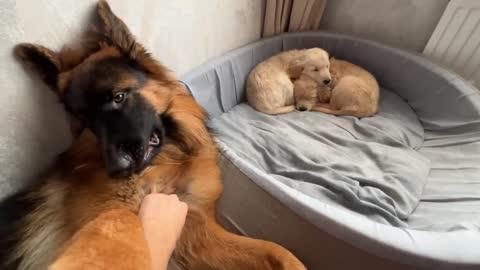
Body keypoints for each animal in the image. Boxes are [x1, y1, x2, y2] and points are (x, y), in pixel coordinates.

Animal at [0, 1, 306, 268]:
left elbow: (277, 250)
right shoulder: (113, 214)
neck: (169, 159)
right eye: (86, 121)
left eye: (118, 97)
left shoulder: (194, 232)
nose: (116, 170)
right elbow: (121, 219)